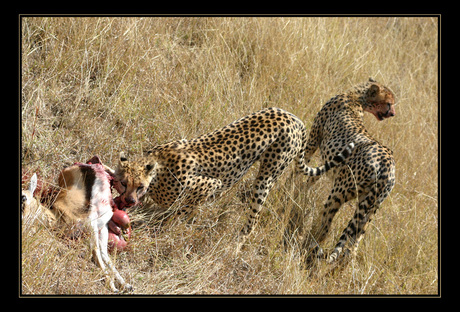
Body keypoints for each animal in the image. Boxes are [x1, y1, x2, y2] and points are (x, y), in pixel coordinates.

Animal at [113, 107, 354, 251]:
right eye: (123, 183)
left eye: (140, 186)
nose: (129, 200)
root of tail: (295, 119)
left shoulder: (208, 184)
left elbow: (178, 212)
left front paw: (165, 228)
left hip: (266, 178)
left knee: (253, 220)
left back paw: (236, 245)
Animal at [304, 78, 398, 264]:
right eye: (389, 103)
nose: (393, 114)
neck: (356, 97)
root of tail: (387, 164)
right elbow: (311, 178)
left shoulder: (314, 140)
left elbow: (300, 169)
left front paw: (287, 190)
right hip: (372, 206)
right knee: (354, 244)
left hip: (339, 193)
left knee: (325, 228)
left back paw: (309, 245)